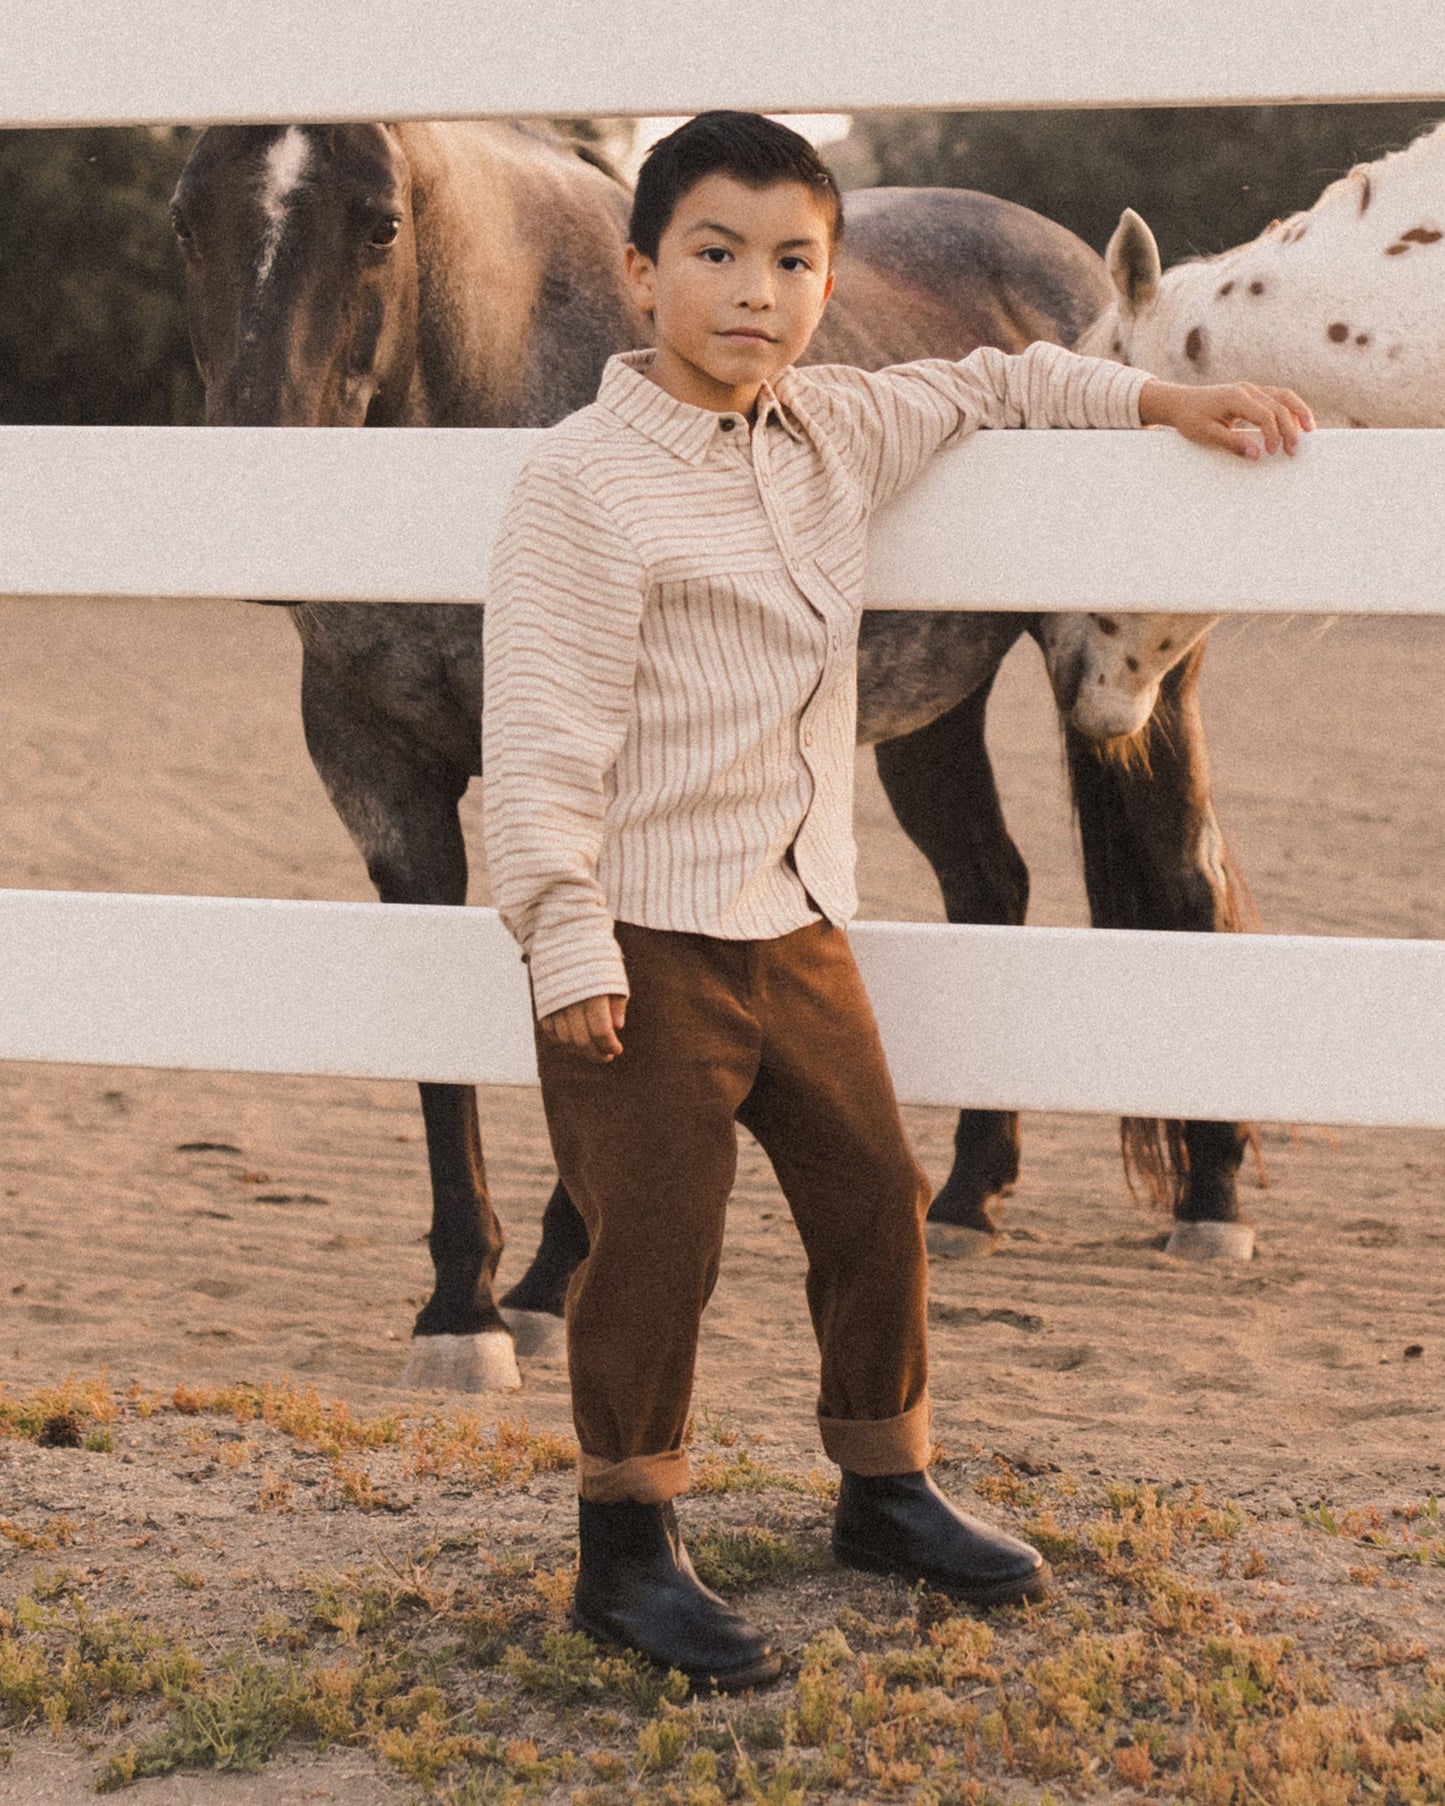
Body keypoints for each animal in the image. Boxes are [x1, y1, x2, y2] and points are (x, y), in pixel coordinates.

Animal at [169, 123, 1249, 1394]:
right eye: (186, 215)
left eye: (380, 223)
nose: (259, 483)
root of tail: (1092, 280)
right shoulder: (380, 777)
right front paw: (458, 1313)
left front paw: (547, 1285)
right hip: (931, 714)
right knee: (989, 885)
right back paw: (964, 1200)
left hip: (1133, 678)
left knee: (1184, 883)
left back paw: (1211, 1201)